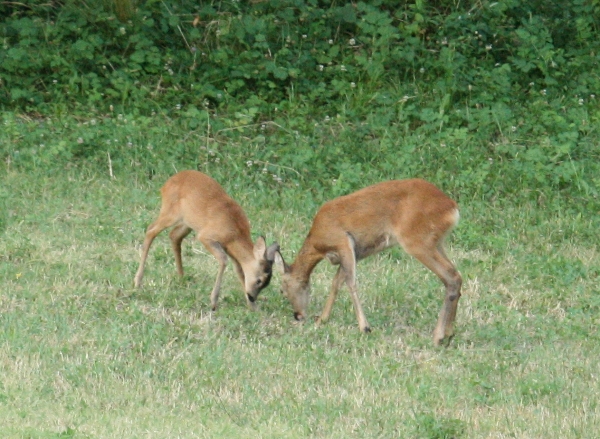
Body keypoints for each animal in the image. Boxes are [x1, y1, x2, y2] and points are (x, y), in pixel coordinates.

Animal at [134, 170, 278, 312]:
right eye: (259, 280)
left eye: (267, 283)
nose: (252, 297)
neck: (236, 233)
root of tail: (166, 184)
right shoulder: (206, 236)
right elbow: (223, 260)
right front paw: (214, 301)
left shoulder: (229, 248)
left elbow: (239, 270)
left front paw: (253, 307)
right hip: (170, 212)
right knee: (151, 230)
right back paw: (138, 281)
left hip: (188, 222)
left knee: (174, 235)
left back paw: (181, 276)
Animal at [274, 179, 462, 348]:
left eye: (282, 290)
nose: (297, 316)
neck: (317, 243)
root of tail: (452, 207)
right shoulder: (356, 253)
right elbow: (336, 283)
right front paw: (322, 320)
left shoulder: (343, 242)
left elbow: (350, 282)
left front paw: (364, 327)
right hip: (437, 242)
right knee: (456, 276)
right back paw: (449, 334)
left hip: (417, 241)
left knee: (451, 277)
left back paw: (438, 337)